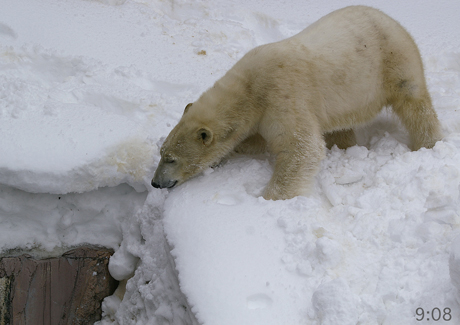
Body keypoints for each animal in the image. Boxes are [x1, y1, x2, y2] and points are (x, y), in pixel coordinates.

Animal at [151, 5, 442, 200]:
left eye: (171, 159)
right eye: (161, 152)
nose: (155, 183)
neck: (249, 88)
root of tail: (389, 17)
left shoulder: (281, 95)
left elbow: (301, 148)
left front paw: (268, 199)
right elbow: (254, 139)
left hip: (393, 58)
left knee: (414, 102)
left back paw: (428, 143)